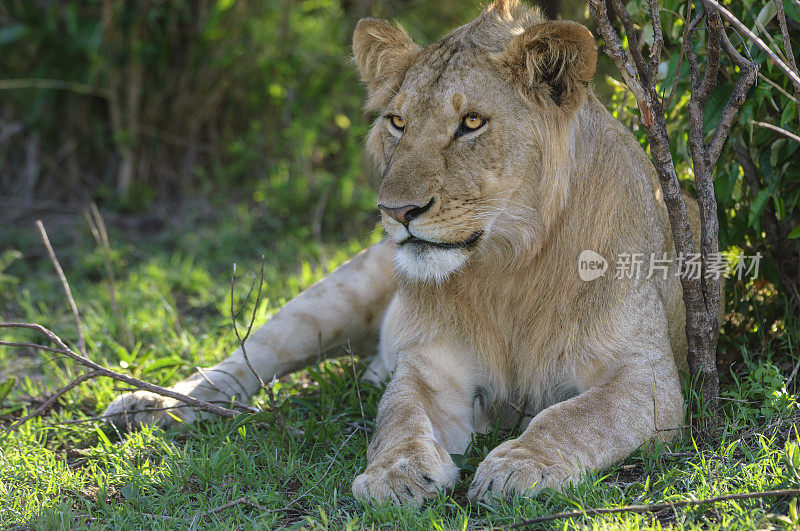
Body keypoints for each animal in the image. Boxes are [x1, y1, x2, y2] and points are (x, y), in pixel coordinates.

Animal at [103, 0, 704, 504]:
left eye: (471, 123)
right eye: (398, 122)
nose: (396, 212)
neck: (509, 265)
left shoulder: (647, 378)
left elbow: (579, 416)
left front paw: (519, 466)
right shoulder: (431, 366)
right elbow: (401, 416)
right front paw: (396, 475)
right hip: (336, 293)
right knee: (244, 361)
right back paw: (145, 405)